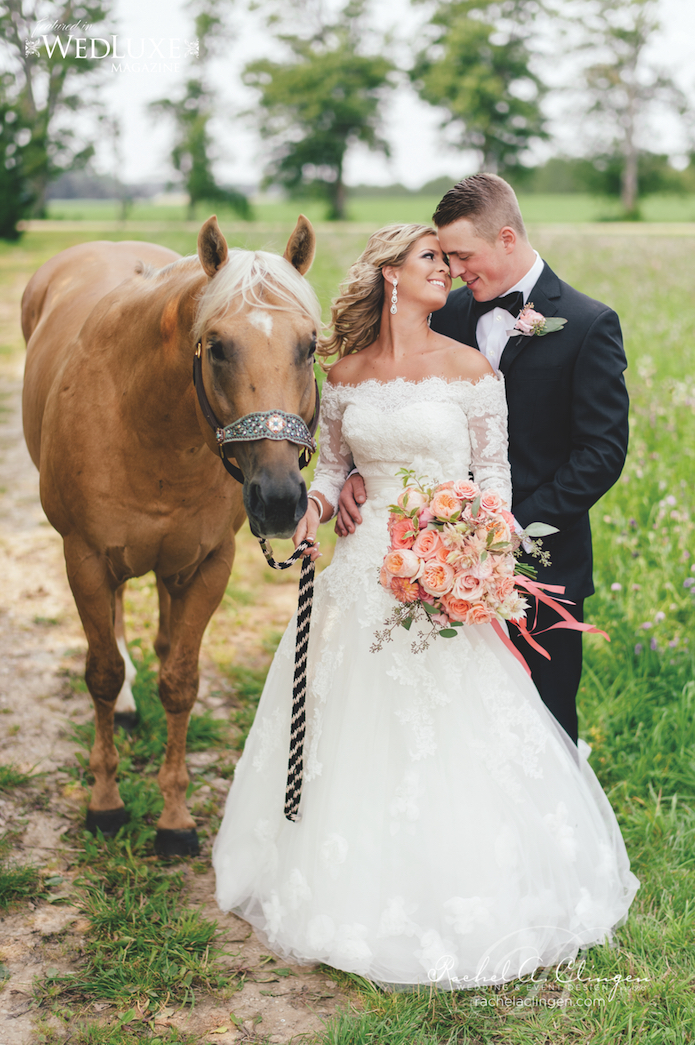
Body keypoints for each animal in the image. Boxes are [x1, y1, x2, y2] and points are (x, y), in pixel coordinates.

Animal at [21, 214, 319, 856]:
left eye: (310, 346)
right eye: (218, 347)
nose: (280, 500)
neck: (146, 421)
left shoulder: (208, 564)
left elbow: (181, 681)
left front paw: (175, 819)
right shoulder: (84, 559)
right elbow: (102, 672)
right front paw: (105, 804)